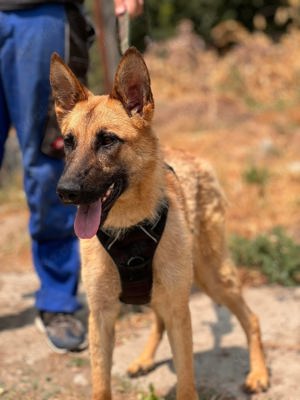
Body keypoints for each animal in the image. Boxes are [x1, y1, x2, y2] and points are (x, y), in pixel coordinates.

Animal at [49, 47, 270, 400]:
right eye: (69, 142)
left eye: (107, 140)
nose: (65, 192)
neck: (128, 228)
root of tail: (193, 155)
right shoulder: (101, 317)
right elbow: (101, 383)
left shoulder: (181, 313)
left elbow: (186, 382)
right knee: (159, 320)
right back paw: (144, 359)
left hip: (214, 278)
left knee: (252, 319)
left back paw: (259, 374)